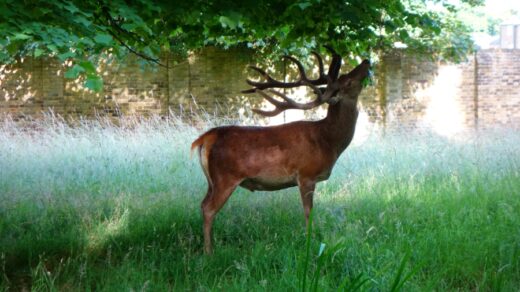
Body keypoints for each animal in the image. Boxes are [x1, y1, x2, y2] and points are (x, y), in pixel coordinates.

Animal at [191, 48, 370, 253]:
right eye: (348, 81)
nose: (366, 61)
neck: (327, 141)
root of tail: (207, 137)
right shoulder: (306, 174)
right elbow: (308, 212)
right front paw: (309, 243)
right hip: (225, 177)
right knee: (209, 209)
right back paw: (209, 252)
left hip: (211, 181)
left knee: (202, 204)